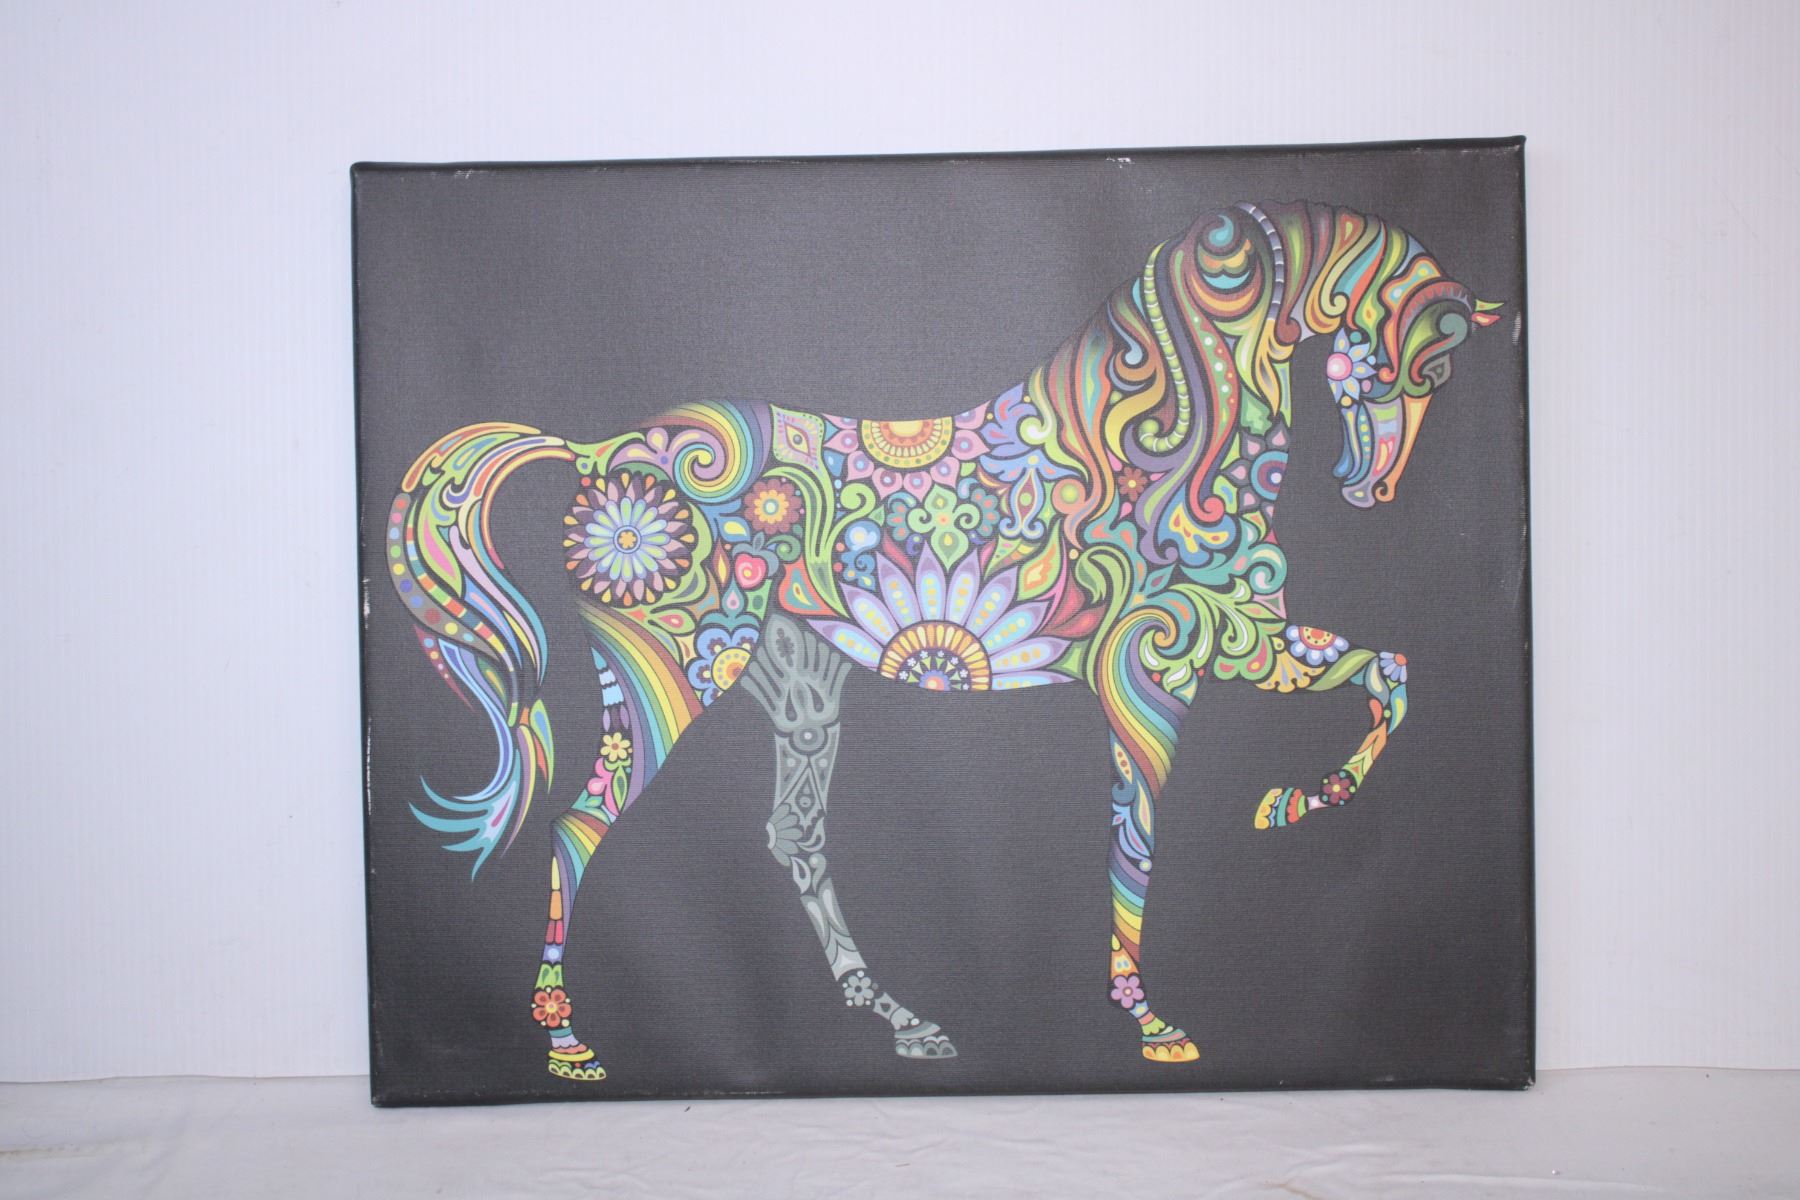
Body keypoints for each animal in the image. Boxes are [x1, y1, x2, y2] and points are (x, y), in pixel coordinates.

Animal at [381, 200, 1502, 1081]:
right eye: (1429, 360)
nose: (1370, 492)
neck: (1165, 435)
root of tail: (594, 451)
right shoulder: (1161, 666)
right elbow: (1137, 840)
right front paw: (1150, 1021)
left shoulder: (1237, 639)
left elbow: (1391, 673)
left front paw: (1291, 805)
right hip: (675, 671)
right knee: (578, 828)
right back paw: (566, 1041)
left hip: (801, 690)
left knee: (794, 838)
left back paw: (903, 1022)